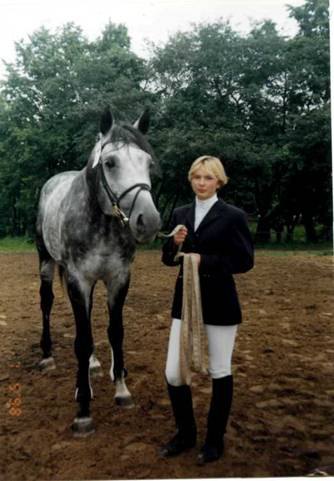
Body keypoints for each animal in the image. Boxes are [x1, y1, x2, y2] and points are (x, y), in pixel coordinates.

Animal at [36, 108, 161, 436]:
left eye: (148, 162)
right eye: (110, 163)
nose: (149, 221)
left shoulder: (118, 278)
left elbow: (114, 332)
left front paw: (122, 389)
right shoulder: (78, 279)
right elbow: (82, 340)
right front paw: (83, 410)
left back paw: (92, 365)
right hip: (46, 261)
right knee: (47, 303)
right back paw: (47, 356)